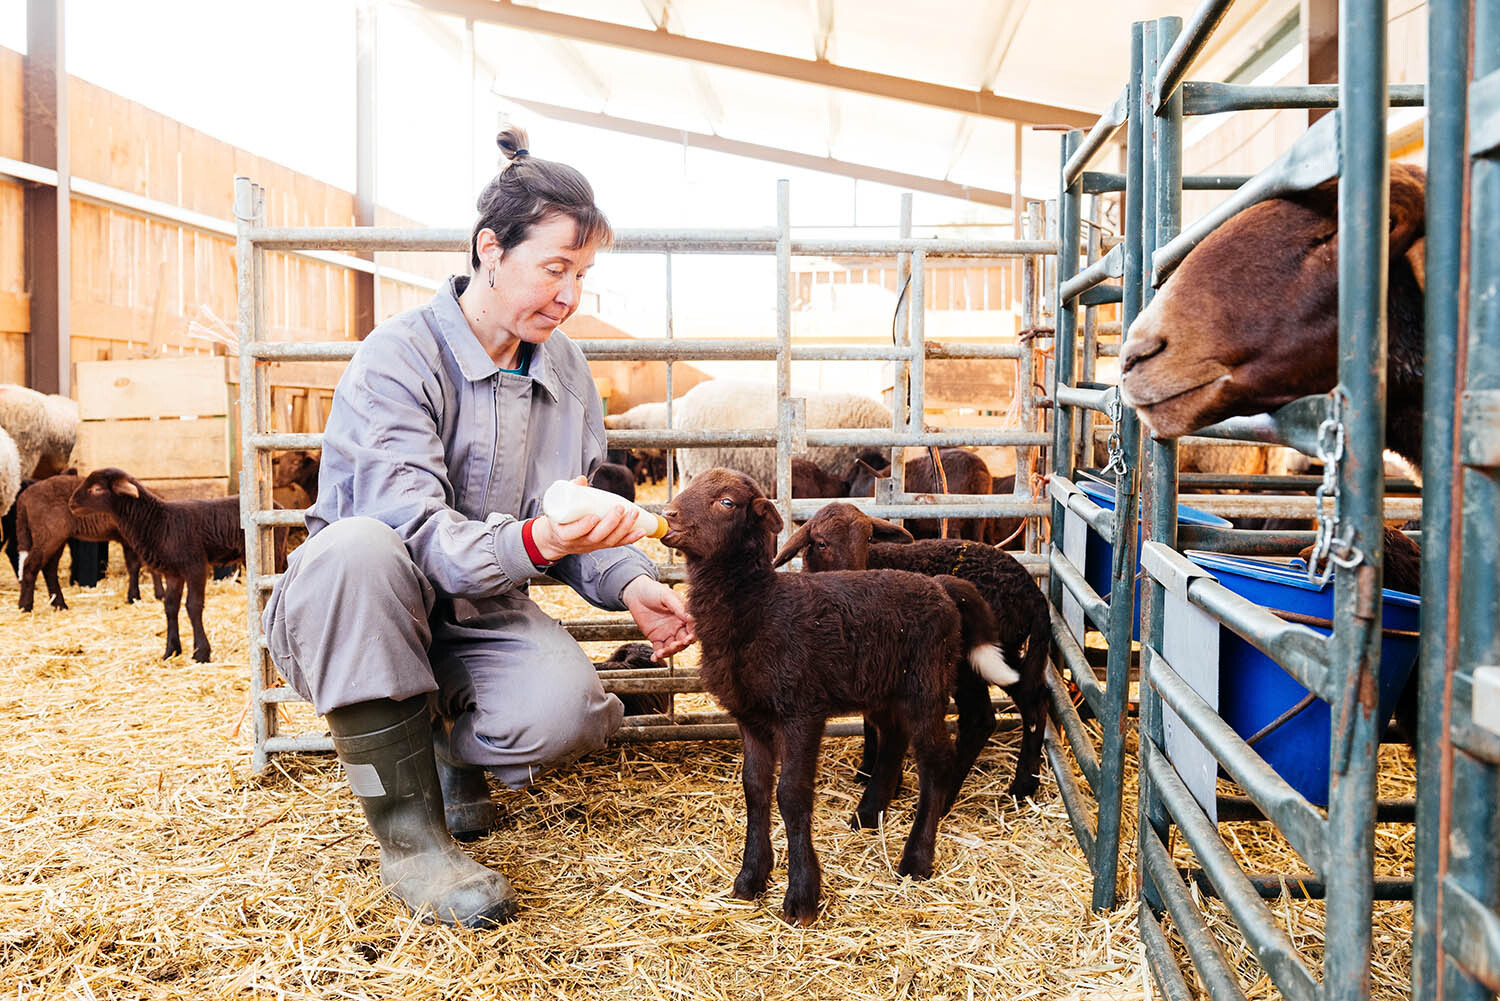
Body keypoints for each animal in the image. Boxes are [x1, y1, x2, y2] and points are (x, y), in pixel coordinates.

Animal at [14, 472, 148, 611]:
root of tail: (24, 498)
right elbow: (135, 566)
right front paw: (135, 597)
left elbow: (133, 566)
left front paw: (133, 597)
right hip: (48, 533)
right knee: (30, 565)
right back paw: (25, 606)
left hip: (55, 536)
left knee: (49, 568)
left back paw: (59, 604)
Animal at [69, 468, 287, 662]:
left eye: (96, 489)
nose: (71, 504)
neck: (158, 521)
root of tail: (278, 507)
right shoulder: (173, 572)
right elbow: (170, 606)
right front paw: (171, 651)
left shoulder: (195, 566)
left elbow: (193, 606)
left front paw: (201, 653)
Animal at [661, 467, 1007, 924]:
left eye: (727, 502)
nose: (668, 515)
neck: (757, 607)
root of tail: (941, 586)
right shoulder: (750, 716)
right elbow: (755, 788)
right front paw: (750, 879)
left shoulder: (801, 711)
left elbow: (791, 794)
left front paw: (801, 897)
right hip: (885, 686)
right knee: (893, 740)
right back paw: (868, 814)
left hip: (926, 684)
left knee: (936, 761)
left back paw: (916, 860)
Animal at [775, 502, 1049, 801]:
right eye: (821, 543)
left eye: (868, 539)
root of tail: (1034, 592)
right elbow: (869, 720)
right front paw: (867, 770)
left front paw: (887, 782)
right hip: (1003, 652)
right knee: (1034, 699)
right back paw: (1024, 786)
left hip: (966, 659)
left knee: (980, 719)